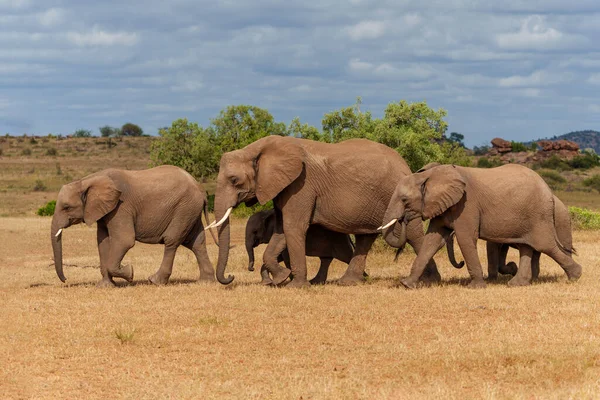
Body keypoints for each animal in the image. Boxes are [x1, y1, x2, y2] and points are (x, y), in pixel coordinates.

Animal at [51, 166, 216, 288]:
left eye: (66, 207)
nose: (65, 279)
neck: (87, 181)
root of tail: (201, 189)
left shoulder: (121, 207)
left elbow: (124, 240)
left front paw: (130, 273)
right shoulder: (104, 211)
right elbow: (103, 242)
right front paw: (105, 286)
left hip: (184, 208)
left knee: (172, 241)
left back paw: (155, 281)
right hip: (190, 211)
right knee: (197, 243)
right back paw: (205, 282)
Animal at [209, 136, 438, 286]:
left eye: (234, 180)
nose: (230, 277)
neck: (256, 149)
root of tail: (405, 164)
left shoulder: (301, 185)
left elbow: (293, 226)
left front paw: (295, 286)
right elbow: (282, 229)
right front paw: (281, 278)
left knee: (415, 234)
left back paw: (428, 281)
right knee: (365, 237)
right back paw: (349, 282)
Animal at [380, 164, 580, 290]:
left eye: (404, 200)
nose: (404, 219)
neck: (428, 175)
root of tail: (548, 189)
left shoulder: (467, 205)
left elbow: (465, 239)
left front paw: (476, 287)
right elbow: (432, 241)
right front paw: (407, 284)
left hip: (539, 215)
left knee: (545, 245)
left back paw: (576, 276)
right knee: (527, 246)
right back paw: (517, 284)